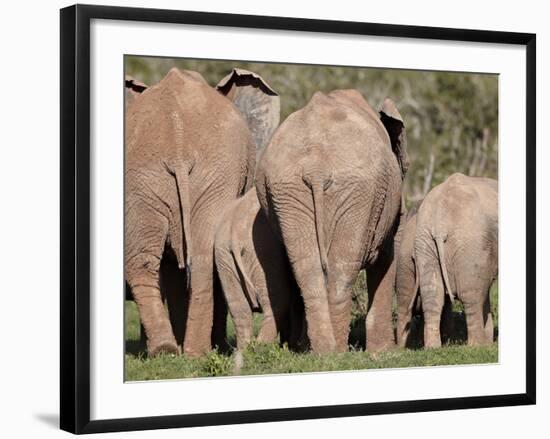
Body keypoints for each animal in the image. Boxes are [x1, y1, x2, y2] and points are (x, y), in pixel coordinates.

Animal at [125, 68, 280, 358]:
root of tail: (176, 137)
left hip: (151, 178)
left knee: (158, 259)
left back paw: (171, 350)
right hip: (197, 174)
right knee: (200, 256)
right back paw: (191, 351)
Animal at [215, 188, 306, 350]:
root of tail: (234, 234)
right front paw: (295, 347)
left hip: (223, 257)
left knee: (240, 310)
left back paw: (245, 351)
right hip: (263, 254)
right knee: (276, 302)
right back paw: (262, 348)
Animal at [256, 90, 410, 354]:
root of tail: (316, 168)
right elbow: (387, 256)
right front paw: (384, 352)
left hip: (286, 191)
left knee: (306, 267)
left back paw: (320, 350)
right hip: (357, 190)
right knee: (342, 266)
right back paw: (336, 350)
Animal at [414, 174, 500, 348]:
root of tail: (440, 223)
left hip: (424, 239)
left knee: (432, 294)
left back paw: (432, 348)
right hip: (470, 241)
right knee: (471, 295)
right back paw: (477, 346)